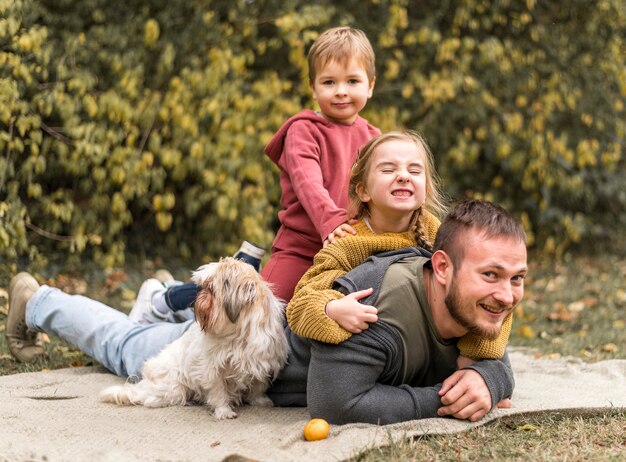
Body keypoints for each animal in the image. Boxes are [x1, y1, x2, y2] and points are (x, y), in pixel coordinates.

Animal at [100, 258, 288, 420]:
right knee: (147, 395)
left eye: (211, 288)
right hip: (173, 388)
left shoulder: (264, 362)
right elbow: (219, 392)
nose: (200, 294)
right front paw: (224, 411)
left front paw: (259, 400)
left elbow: (258, 386)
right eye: (204, 287)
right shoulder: (212, 369)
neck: (238, 334)